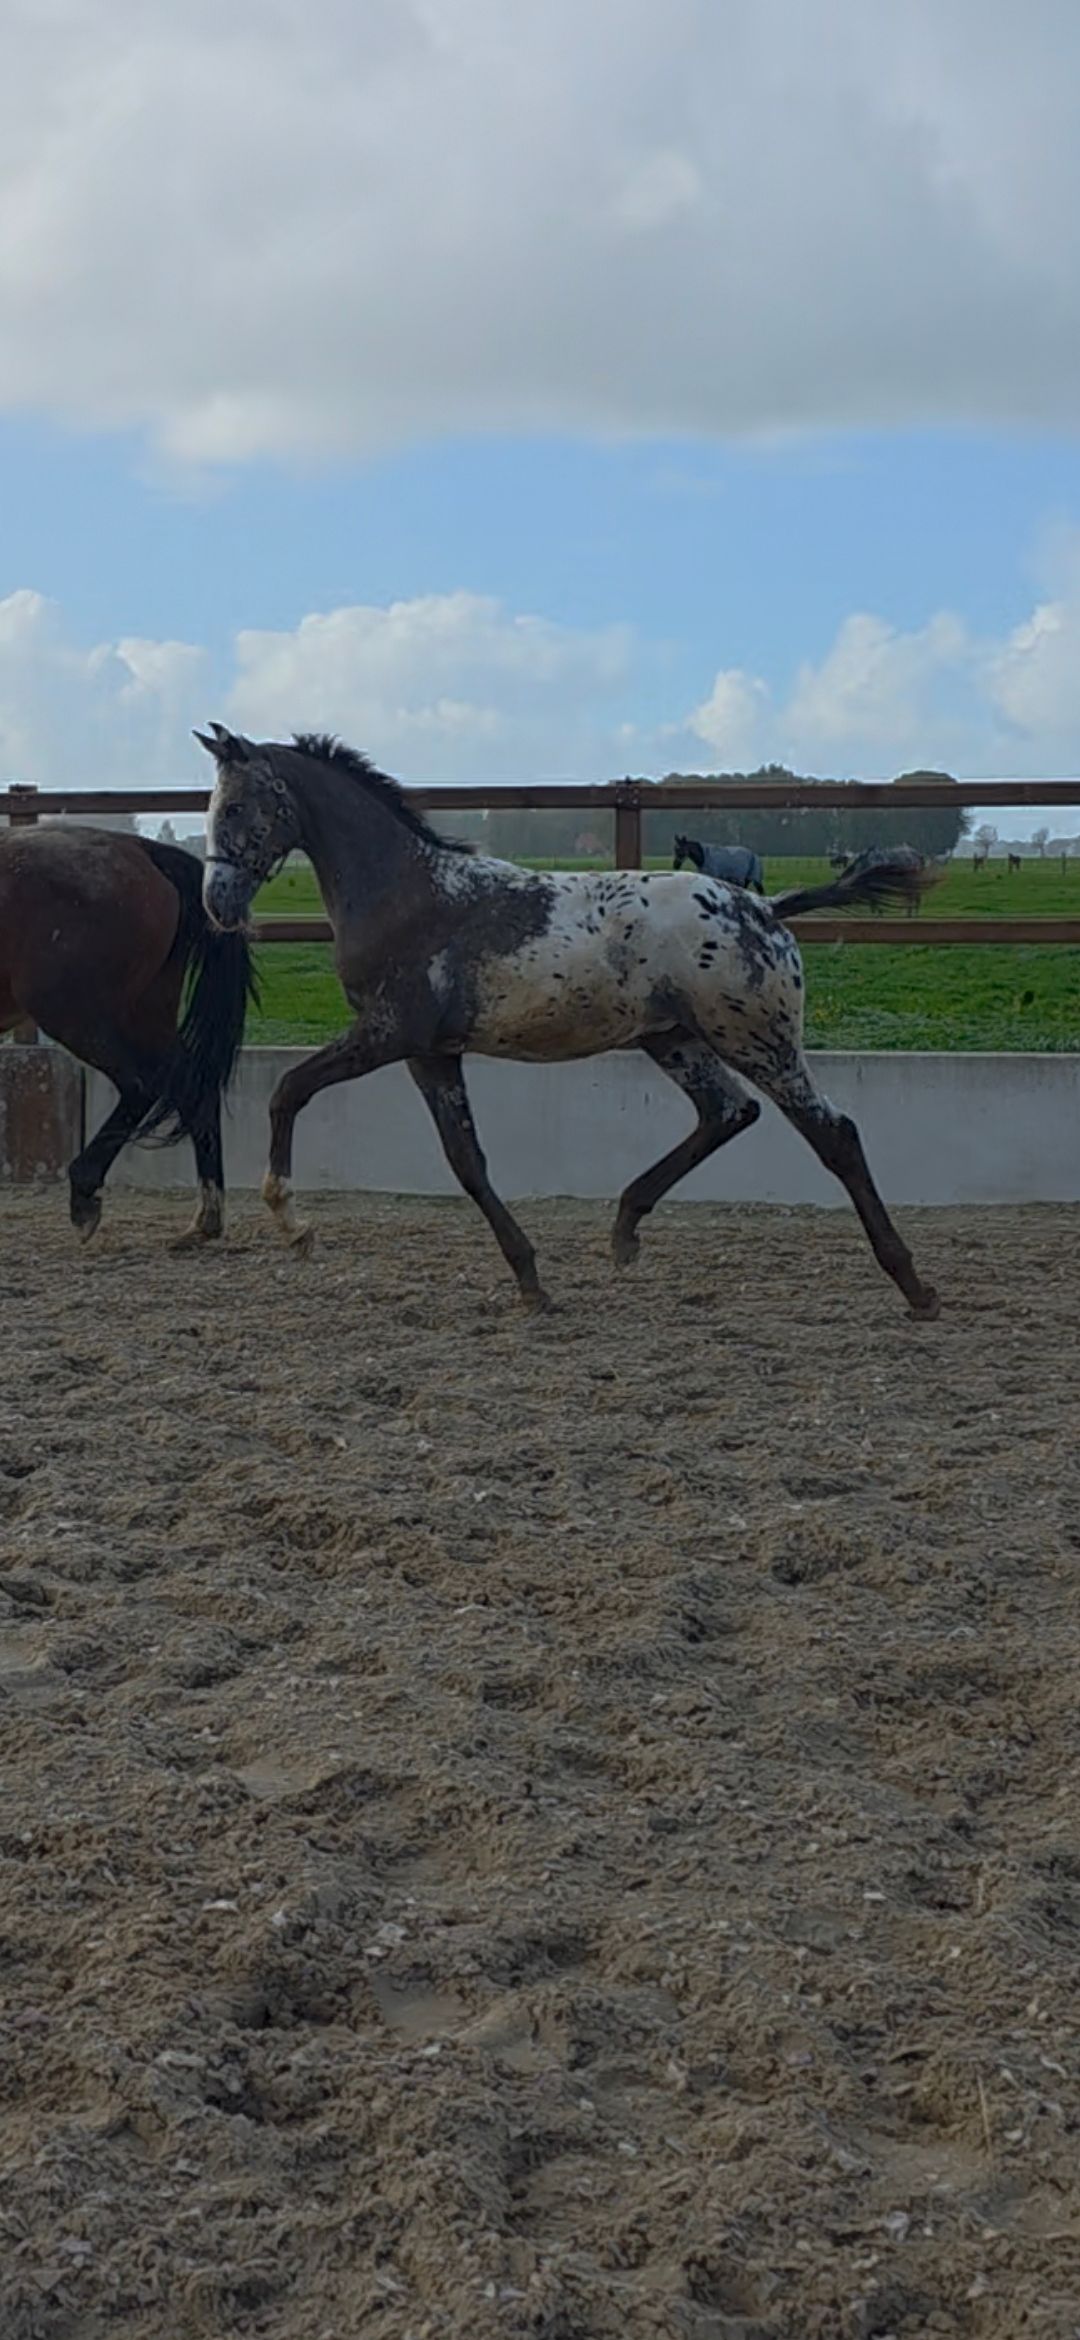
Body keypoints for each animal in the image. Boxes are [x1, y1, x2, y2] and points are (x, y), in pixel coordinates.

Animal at [0, 825, 255, 1245]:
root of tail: (140, 848)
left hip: (77, 1017)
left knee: (141, 1086)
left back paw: (85, 1194)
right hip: (147, 1013)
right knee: (191, 1085)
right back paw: (206, 1217)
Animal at [196, 725, 940, 1321]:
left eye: (234, 806)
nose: (217, 904)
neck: (410, 894)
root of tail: (767, 909)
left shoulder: (389, 1034)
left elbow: (289, 1089)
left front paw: (293, 1224)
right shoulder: (430, 1052)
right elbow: (466, 1160)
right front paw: (531, 1281)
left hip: (760, 1041)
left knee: (833, 1133)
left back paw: (915, 1285)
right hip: (673, 1041)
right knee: (728, 1112)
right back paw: (625, 1227)